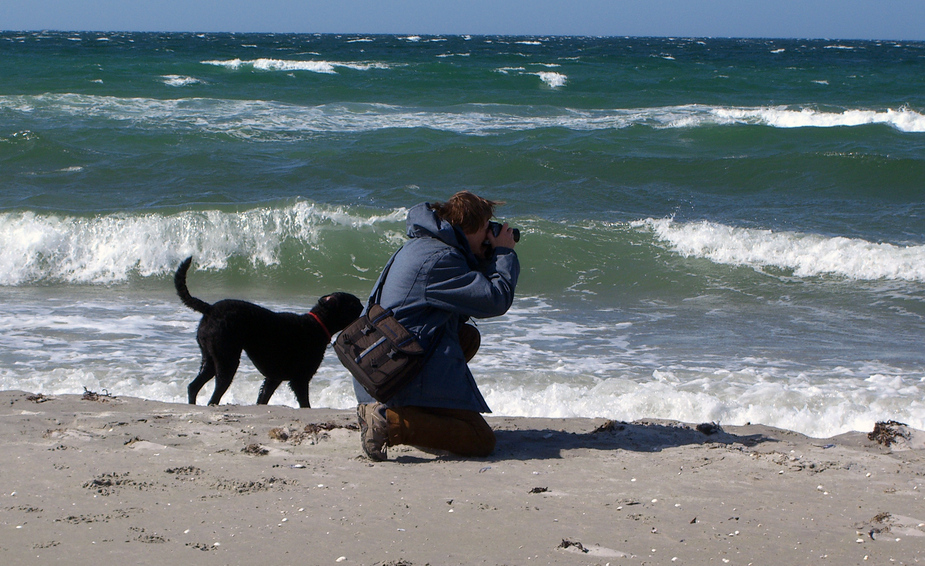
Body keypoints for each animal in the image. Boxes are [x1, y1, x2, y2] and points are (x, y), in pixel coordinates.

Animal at [175, 258, 362, 408]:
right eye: (354, 303)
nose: (363, 306)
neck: (316, 324)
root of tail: (210, 308)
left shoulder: (273, 379)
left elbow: (263, 398)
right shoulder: (300, 380)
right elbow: (305, 404)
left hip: (210, 359)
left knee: (193, 387)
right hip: (227, 360)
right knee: (215, 393)